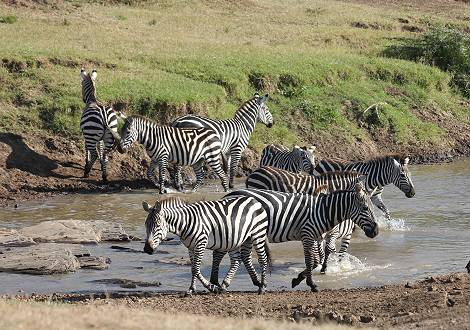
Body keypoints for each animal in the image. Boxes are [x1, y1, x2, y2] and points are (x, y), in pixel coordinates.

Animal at [141, 196, 270, 294]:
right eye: (146, 224)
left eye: (157, 225)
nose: (147, 249)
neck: (185, 222)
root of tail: (254, 200)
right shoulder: (191, 247)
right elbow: (193, 268)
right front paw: (192, 289)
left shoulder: (201, 243)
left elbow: (196, 268)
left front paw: (210, 287)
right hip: (239, 239)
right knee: (238, 260)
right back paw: (226, 285)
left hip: (258, 234)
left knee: (262, 259)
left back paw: (262, 286)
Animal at [211, 182, 380, 292]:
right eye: (365, 208)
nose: (376, 231)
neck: (322, 211)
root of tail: (228, 194)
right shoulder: (307, 235)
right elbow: (310, 261)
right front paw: (312, 285)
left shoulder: (314, 237)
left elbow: (315, 261)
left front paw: (297, 279)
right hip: (237, 230)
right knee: (220, 254)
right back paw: (216, 283)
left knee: (241, 256)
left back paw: (250, 282)